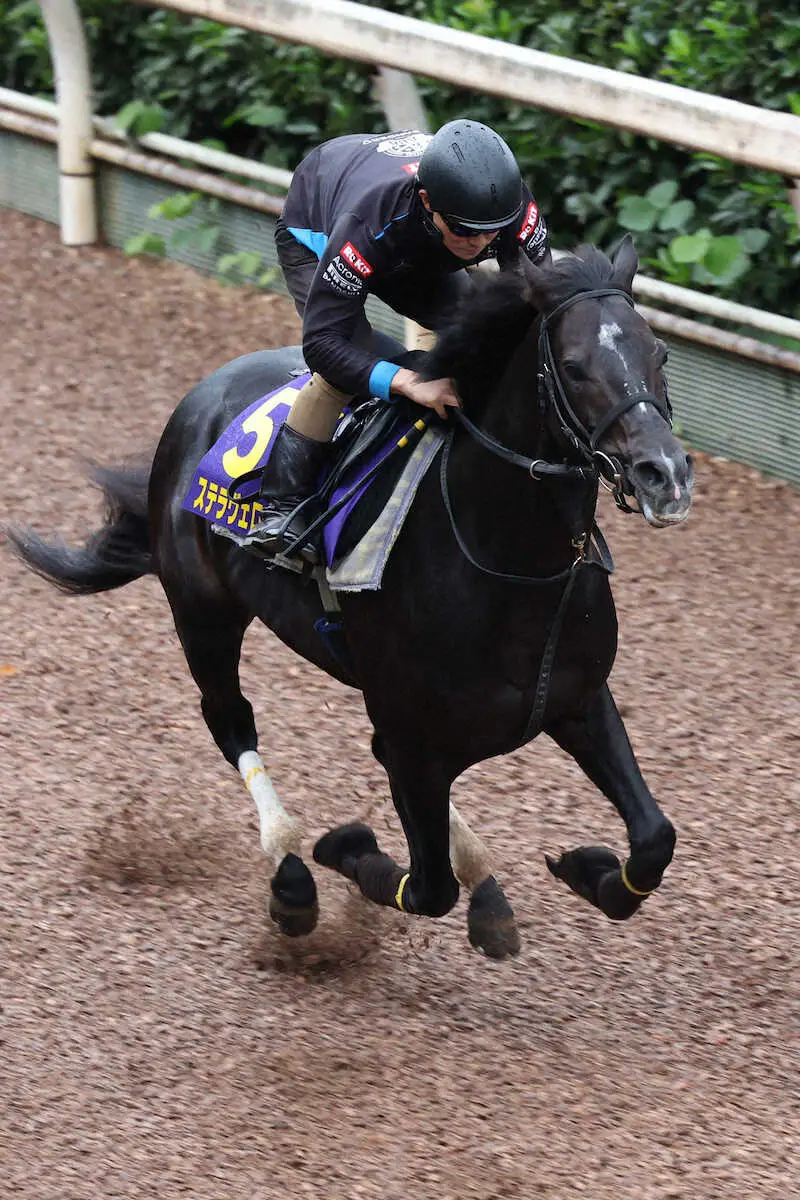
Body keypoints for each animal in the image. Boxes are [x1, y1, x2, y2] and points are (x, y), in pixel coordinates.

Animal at [7, 238, 695, 960]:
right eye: (574, 366)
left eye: (660, 355)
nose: (665, 474)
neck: (510, 566)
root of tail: (202, 396)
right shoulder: (416, 739)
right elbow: (426, 888)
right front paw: (346, 847)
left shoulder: (576, 698)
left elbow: (654, 838)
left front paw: (588, 869)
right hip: (203, 615)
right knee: (232, 723)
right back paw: (291, 878)